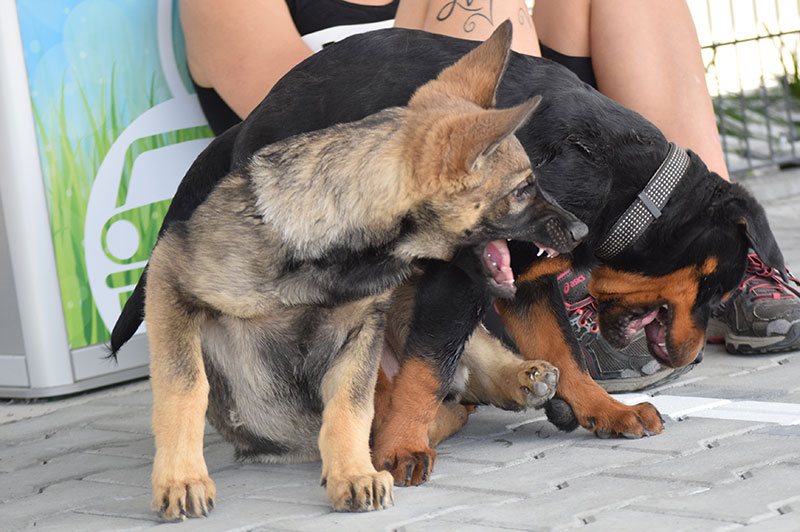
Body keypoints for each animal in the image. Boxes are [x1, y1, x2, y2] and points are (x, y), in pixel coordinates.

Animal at [141, 30, 584, 520]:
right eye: (523, 190)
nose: (582, 231)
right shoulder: (169, 280)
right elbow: (184, 385)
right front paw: (181, 479)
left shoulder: (363, 330)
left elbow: (349, 407)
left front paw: (353, 474)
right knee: (444, 399)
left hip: (412, 310)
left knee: (461, 372)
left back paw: (523, 379)